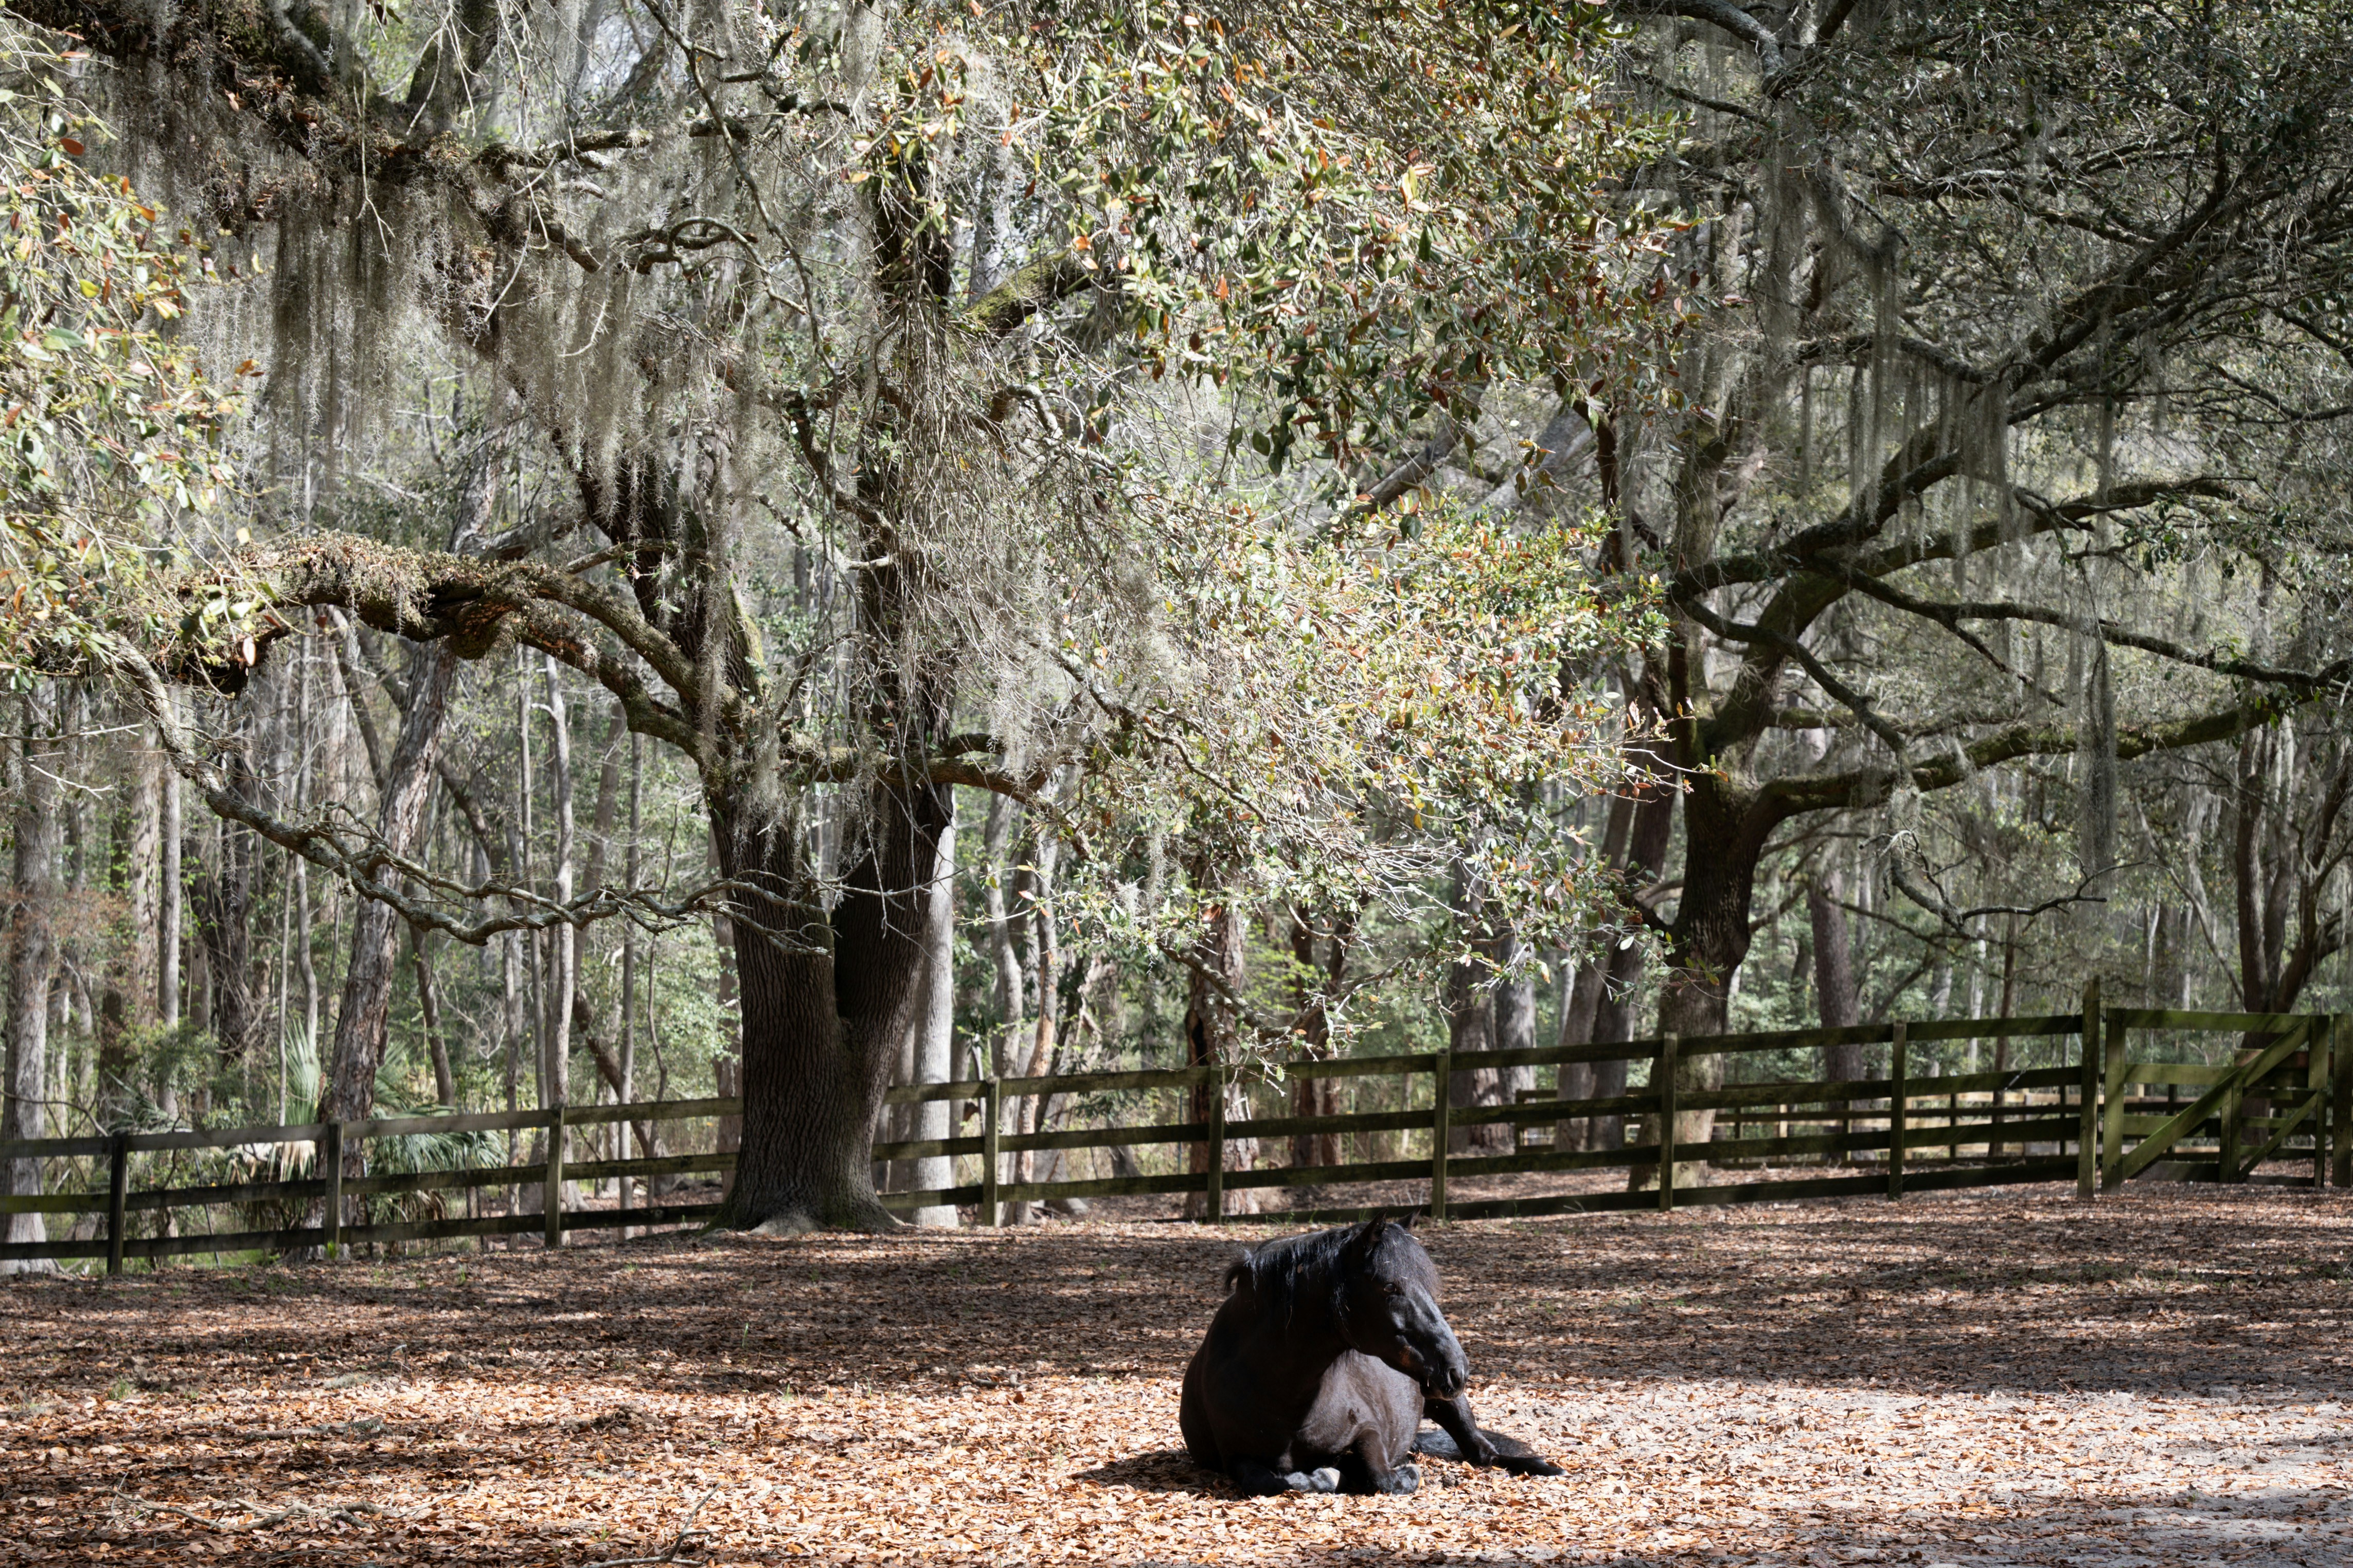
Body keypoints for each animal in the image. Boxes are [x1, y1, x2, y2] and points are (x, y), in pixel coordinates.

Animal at [1179, 1214, 1566, 1496]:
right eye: (1390, 1286)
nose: (1457, 1369)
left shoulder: (1368, 1429)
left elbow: (1382, 1475)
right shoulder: (1235, 1457)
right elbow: (1266, 1481)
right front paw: (1325, 1475)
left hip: (1449, 1403)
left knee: (1484, 1453)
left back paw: (1545, 1466)